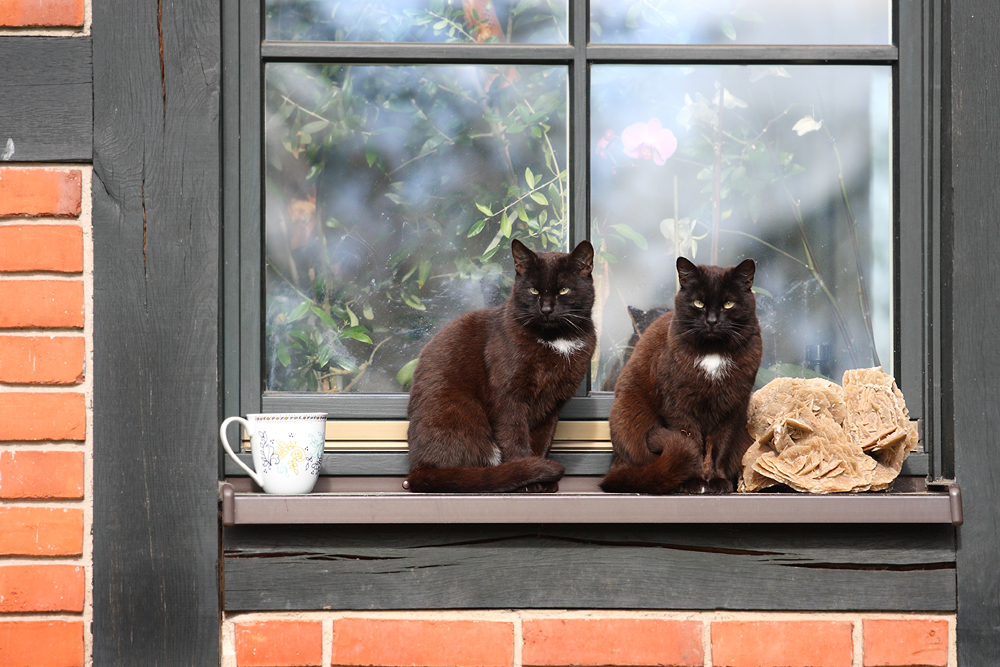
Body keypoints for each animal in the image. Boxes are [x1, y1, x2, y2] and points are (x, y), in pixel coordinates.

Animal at [404, 239, 596, 490]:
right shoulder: (508, 395)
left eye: (564, 290)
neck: (557, 340)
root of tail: (417, 469)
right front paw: (529, 478)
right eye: (533, 290)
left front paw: (543, 481)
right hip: (464, 410)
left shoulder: (553, 403)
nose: (546, 309)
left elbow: (543, 439)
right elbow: (514, 435)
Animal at [596, 256, 760, 496]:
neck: (713, 353)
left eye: (728, 304)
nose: (712, 321)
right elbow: (691, 442)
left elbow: (719, 447)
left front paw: (718, 482)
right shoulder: (678, 406)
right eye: (698, 303)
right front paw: (694, 482)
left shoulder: (731, 407)